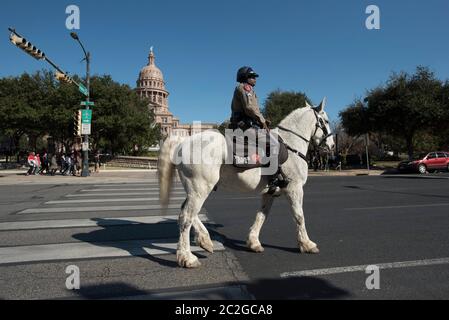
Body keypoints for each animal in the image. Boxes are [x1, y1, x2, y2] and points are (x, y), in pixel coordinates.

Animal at [159, 99, 334, 268]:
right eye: (325, 120)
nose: (332, 145)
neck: (291, 145)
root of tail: (182, 141)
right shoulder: (294, 188)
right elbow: (299, 216)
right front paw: (307, 244)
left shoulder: (270, 192)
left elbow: (262, 215)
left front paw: (253, 242)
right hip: (200, 188)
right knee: (186, 216)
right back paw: (187, 257)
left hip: (196, 189)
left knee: (188, 211)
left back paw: (205, 240)